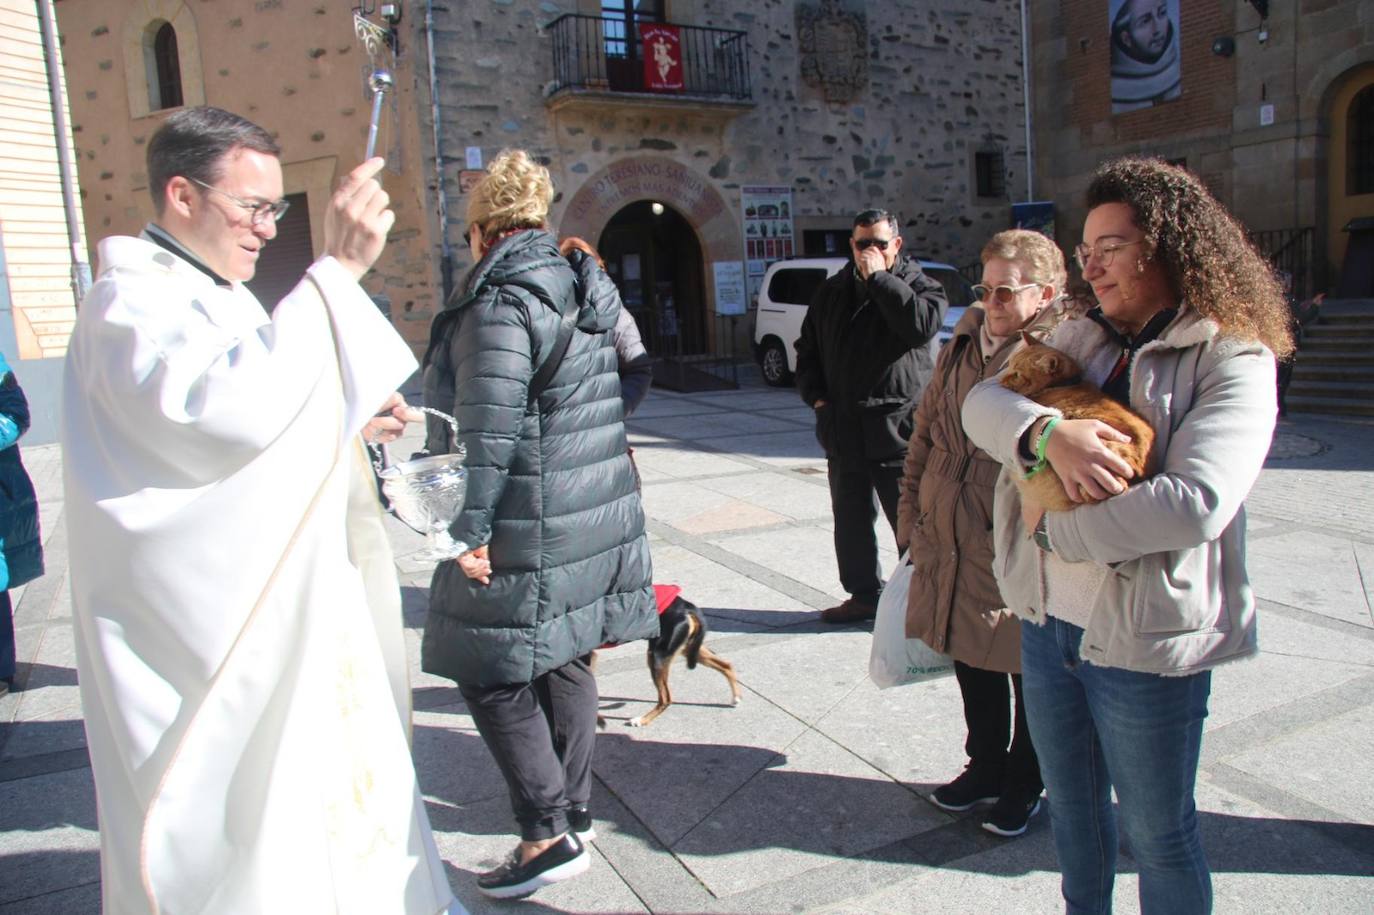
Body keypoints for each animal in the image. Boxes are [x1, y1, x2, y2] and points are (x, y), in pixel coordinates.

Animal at [593, 585, 741, 725]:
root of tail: (687, 608)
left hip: (657, 656)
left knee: (665, 698)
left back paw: (642, 720)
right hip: (688, 648)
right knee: (725, 665)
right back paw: (736, 697)